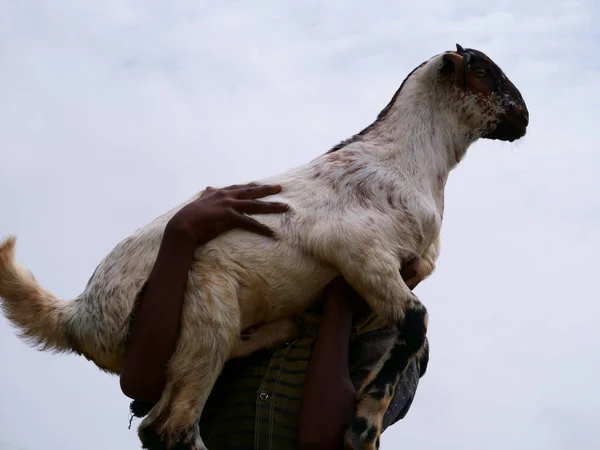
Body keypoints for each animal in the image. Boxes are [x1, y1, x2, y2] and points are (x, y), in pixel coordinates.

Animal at [0, 44, 524, 450]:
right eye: (482, 71)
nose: (524, 118)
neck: (401, 163)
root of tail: (80, 315)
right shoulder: (360, 253)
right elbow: (416, 324)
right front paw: (363, 428)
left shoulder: (399, 274)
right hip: (205, 308)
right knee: (170, 427)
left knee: (157, 421)